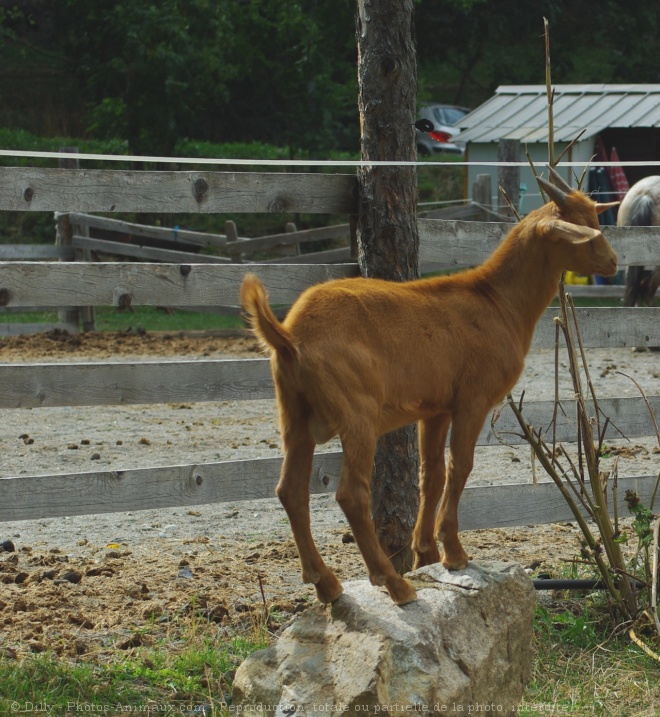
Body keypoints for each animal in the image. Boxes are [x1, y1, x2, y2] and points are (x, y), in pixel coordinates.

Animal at [242, 171, 620, 608]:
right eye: (583, 230)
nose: (613, 262)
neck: (497, 301)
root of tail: (288, 336)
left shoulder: (435, 407)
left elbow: (432, 473)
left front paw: (425, 554)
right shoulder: (473, 399)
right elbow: (461, 466)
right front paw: (454, 553)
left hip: (293, 411)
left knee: (290, 490)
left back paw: (328, 584)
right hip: (357, 412)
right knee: (351, 494)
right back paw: (394, 584)